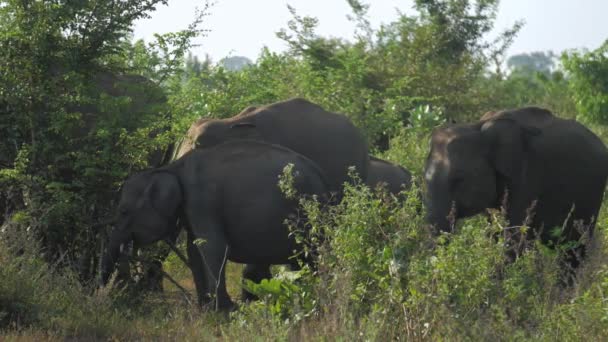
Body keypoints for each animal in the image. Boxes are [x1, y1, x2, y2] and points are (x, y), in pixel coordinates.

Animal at [103, 140, 332, 312]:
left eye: (124, 211)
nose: (104, 294)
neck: (170, 168)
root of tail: (321, 175)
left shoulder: (202, 200)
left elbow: (212, 247)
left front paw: (224, 310)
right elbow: (194, 249)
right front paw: (205, 308)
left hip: (310, 213)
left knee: (315, 254)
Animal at [426, 107, 608, 270]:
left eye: (459, 179)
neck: (479, 127)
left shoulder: (528, 176)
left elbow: (515, 237)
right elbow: (494, 230)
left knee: (574, 249)